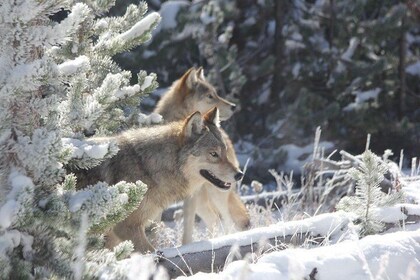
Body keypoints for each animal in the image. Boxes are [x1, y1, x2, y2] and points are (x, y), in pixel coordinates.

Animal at [72, 107, 243, 252]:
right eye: (214, 154)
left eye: (225, 152)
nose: (240, 174)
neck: (148, 167)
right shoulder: (126, 227)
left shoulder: (117, 235)